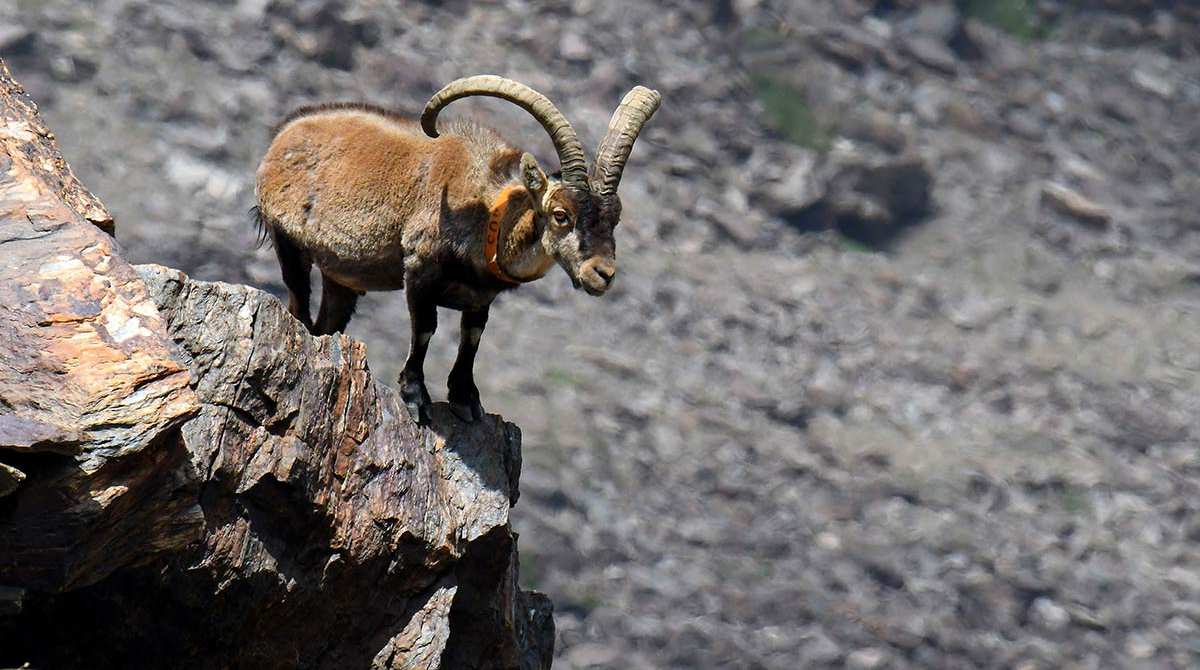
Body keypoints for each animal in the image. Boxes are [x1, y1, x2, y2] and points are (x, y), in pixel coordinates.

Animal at [254, 75, 661, 423]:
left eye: (615, 219)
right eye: (561, 214)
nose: (602, 273)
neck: (487, 216)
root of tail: (281, 136)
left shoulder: (481, 296)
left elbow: (472, 339)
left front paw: (466, 399)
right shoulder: (420, 270)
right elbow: (425, 329)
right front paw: (415, 397)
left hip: (342, 278)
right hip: (287, 240)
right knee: (297, 300)